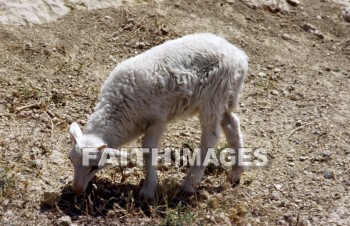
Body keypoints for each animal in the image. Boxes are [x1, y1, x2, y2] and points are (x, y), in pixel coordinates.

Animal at [68, 32, 247, 199]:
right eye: (71, 159)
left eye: (94, 167)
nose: (76, 191)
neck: (119, 108)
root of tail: (239, 56)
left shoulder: (157, 118)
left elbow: (148, 151)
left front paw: (148, 189)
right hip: (222, 96)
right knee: (232, 123)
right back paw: (236, 173)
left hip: (212, 95)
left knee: (211, 136)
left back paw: (190, 184)